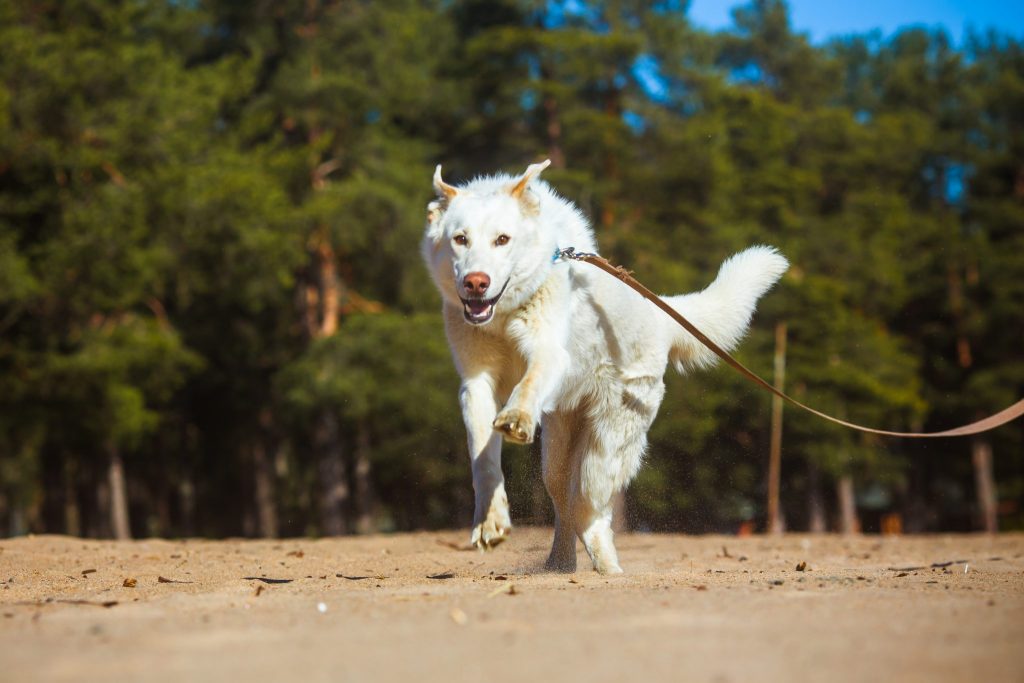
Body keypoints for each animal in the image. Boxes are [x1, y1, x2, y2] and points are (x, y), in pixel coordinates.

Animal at [419, 160, 786, 573]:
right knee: (565, 503)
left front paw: (516, 416)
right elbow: (483, 461)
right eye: (460, 239)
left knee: (589, 509)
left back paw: (609, 568)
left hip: (606, 446)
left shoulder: (549, 353)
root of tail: (659, 312)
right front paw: (490, 522)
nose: (476, 283)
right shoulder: (476, 383)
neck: (505, 314)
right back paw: (559, 565)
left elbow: (528, 383)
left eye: (502, 239)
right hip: (557, 453)